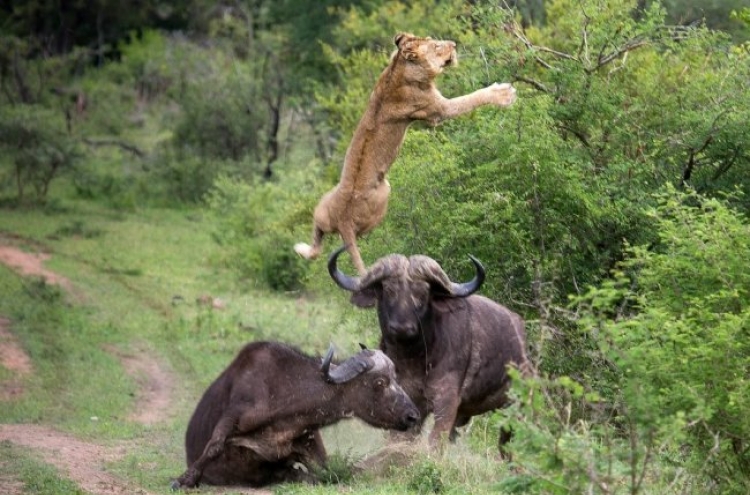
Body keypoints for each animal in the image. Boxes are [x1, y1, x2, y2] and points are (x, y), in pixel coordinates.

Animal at [175, 340, 424, 488]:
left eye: (396, 378)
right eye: (380, 382)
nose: (413, 416)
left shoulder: (309, 442)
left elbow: (330, 472)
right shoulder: (234, 414)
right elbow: (214, 446)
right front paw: (184, 479)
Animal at [296, 34, 520, 276]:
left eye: (434, 39)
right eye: (436, 46)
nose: (454, 44)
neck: (398, 69)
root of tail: (343, 221)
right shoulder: (438, 110)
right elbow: (471, 99)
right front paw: (504, 93)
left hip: (322, 209)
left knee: (317, 242)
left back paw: (301, 248)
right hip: (383, 194)